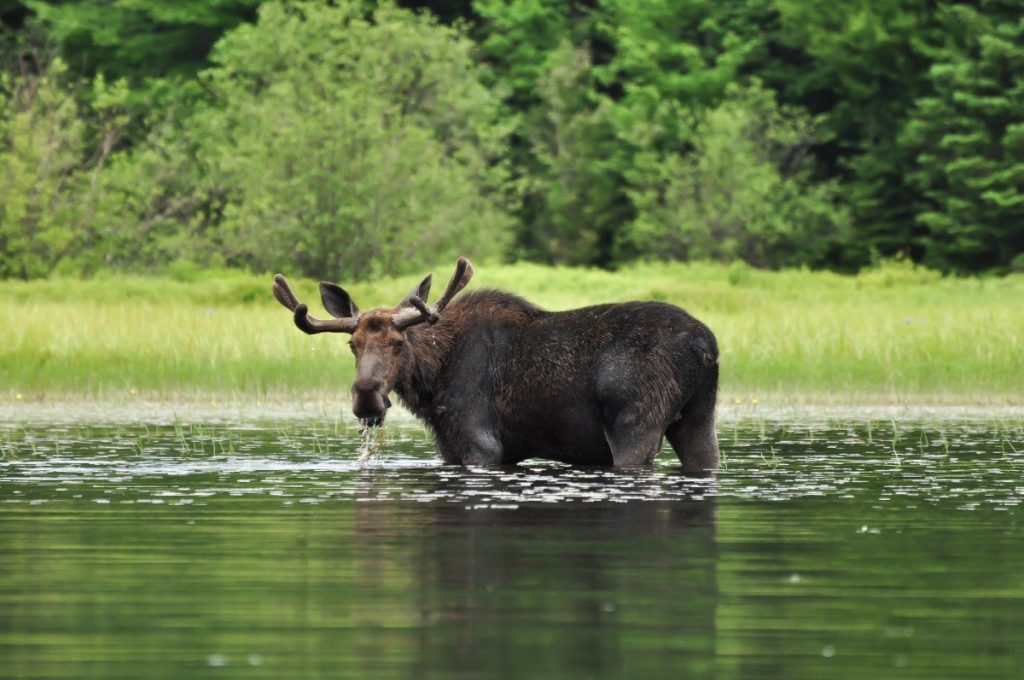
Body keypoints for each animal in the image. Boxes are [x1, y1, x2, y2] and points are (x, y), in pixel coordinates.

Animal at [272, 258, 720, 471]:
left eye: (399, 343)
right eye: (352, 343)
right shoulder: (451, 447)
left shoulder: (480, 443)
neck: (431, 381)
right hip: (699, 419)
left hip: (635, 424)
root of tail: (707, 347)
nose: (367, 398)